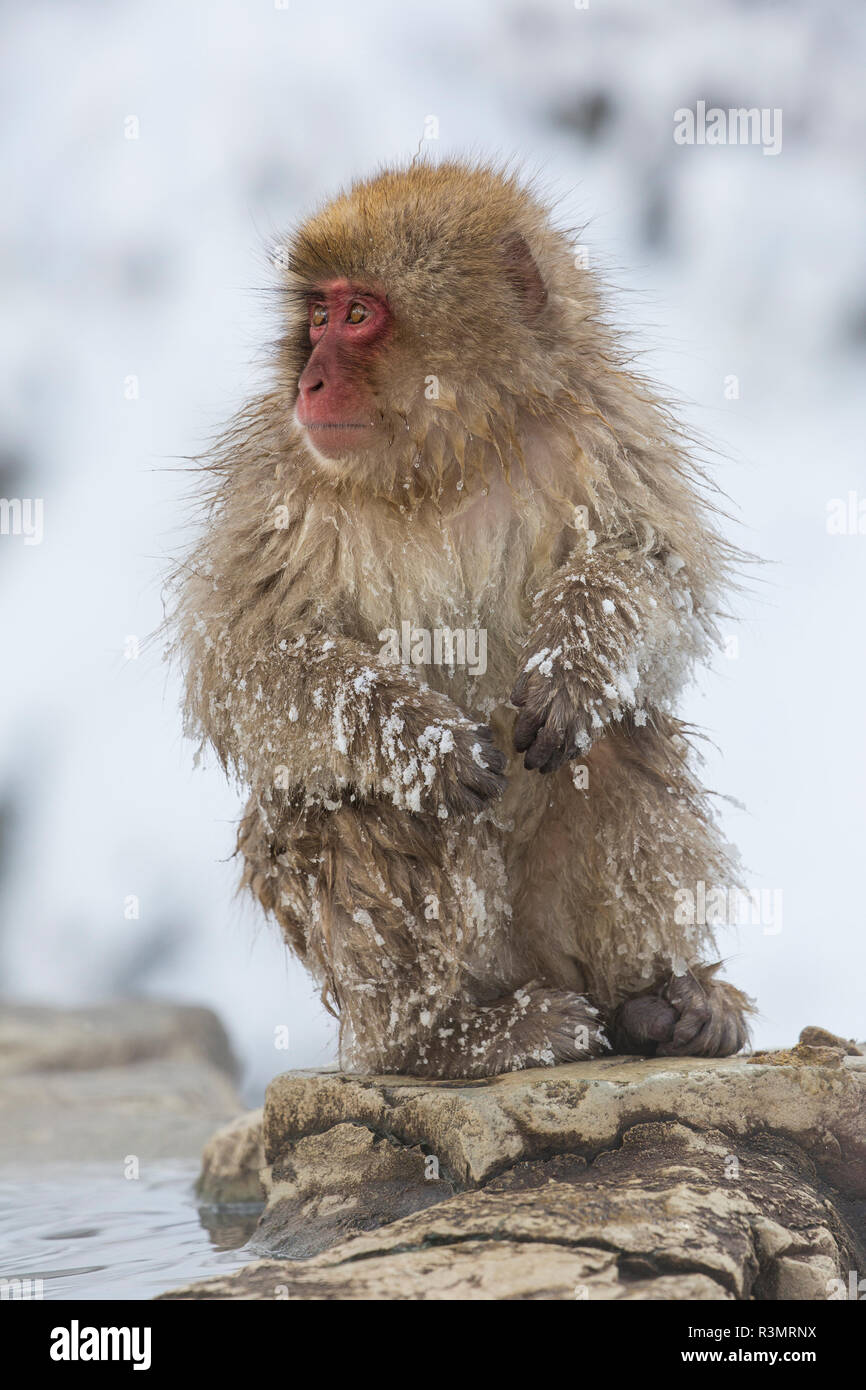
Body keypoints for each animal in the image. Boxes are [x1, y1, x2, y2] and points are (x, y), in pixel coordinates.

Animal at [170, 159, 750, 1073]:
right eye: (317, 315)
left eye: (358, 315)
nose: (308, 380)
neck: (446, 455)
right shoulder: (280, 482)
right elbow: (245, 663)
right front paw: (429, 743)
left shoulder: (606, 428)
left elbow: (654, 573)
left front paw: (573, 666)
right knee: (353, 797)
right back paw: (446, 1038)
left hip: (544, 939)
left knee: (617, 741)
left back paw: (662, 1005)